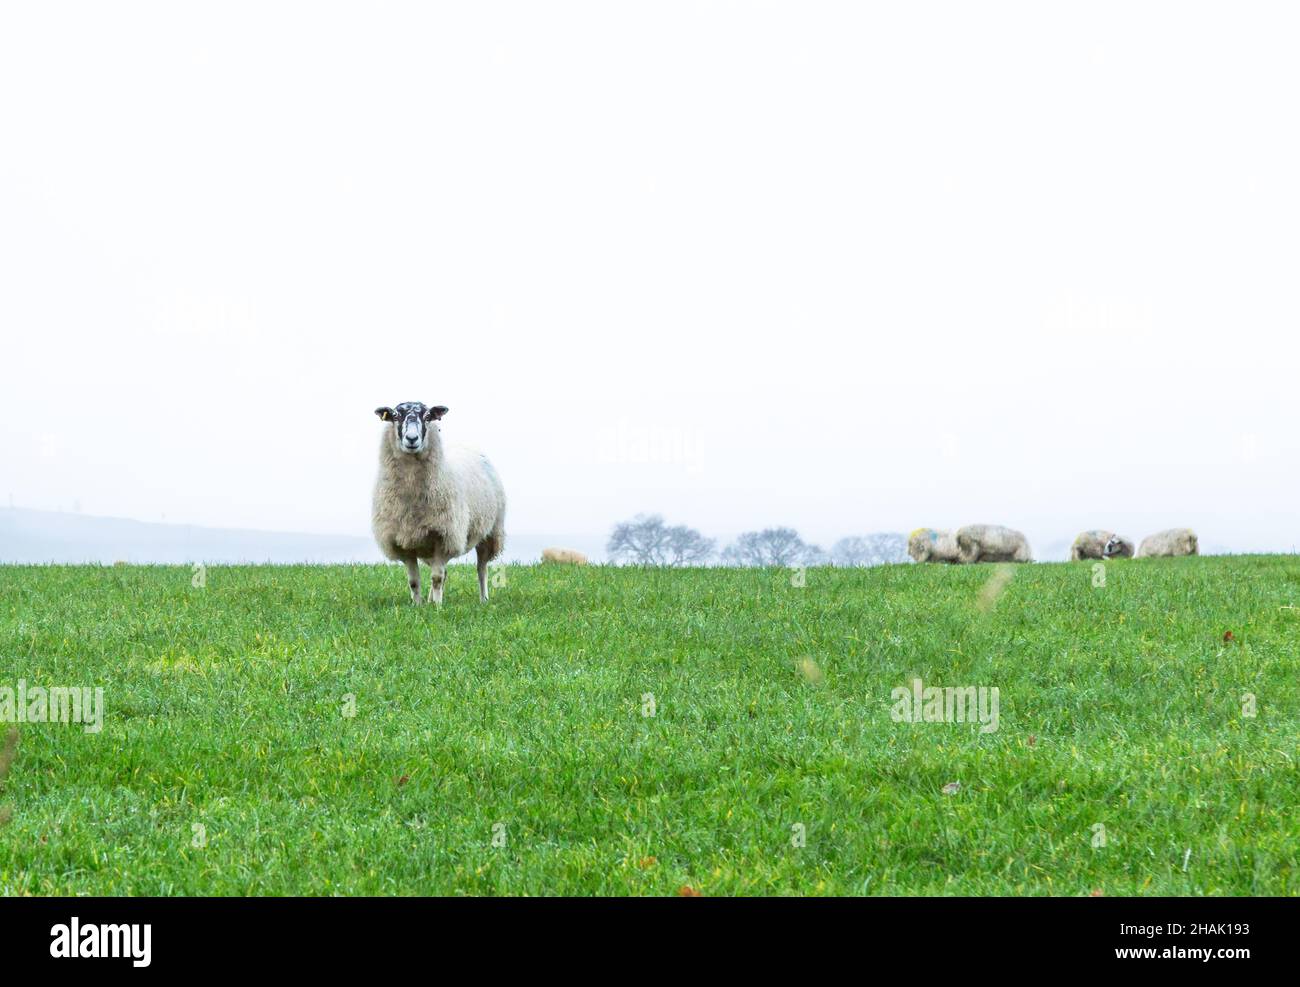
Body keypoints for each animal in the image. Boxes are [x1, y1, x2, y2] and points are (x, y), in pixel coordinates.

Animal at [371, 400, 506, 603]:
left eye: (427, 416)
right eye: (395, 416)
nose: (412, 439)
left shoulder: (445, 536)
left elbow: (436, 578)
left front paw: (437, 606)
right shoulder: (403, 540)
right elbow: (414, 581)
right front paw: (418, 605)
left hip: (490, 532)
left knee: (481, 568)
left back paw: (483, 599)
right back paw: (428, 600)